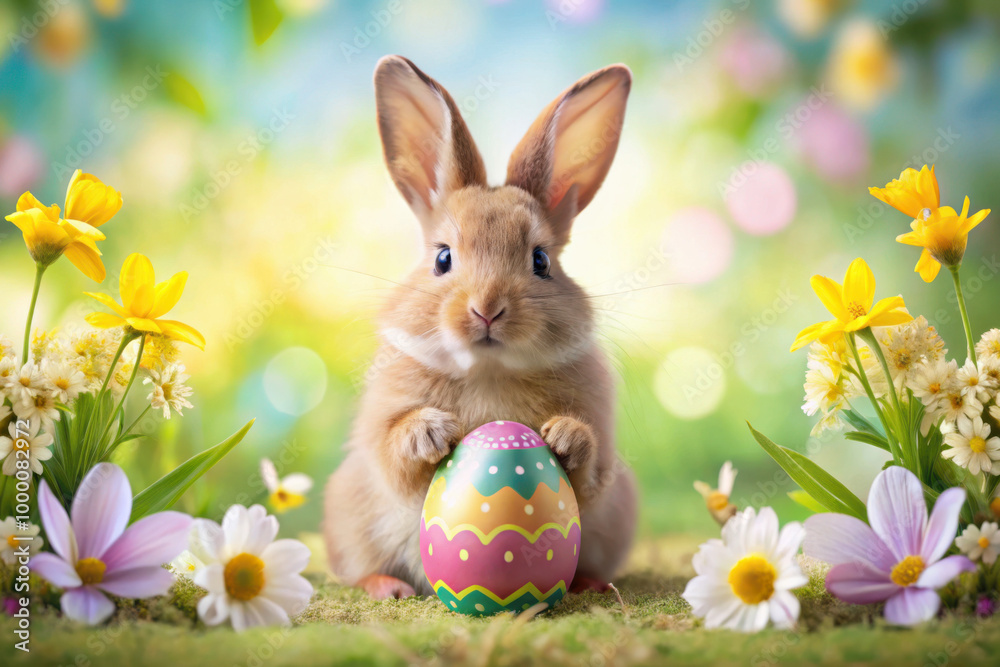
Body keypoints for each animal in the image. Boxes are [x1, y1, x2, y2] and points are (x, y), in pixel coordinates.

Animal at [323, 55, 638, 599]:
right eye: (443, 259)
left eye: (541, 260)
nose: (487, 309)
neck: (488, 370)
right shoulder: (383, 427)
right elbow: (395, 454)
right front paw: (433, 431)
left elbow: (590, 469)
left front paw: (565, 437)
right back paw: (389, 587)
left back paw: (589, 584)